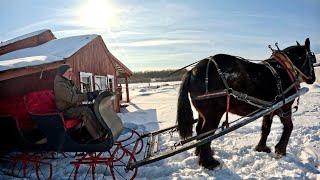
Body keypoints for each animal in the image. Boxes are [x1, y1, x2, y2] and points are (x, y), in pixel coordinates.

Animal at [176, 38, 316, 169]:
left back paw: (200, 153)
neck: (284, 69)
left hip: (203, 113)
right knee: (206, 134)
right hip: (213, 114)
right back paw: (208, 162)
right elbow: (289, 127)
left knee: (199, 130)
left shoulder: (269, 108)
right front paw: (280, 150)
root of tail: (192, 71)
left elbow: (266, 128)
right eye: (312, 57)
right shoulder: (285, 106)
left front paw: (262, 148)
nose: (313, 79)